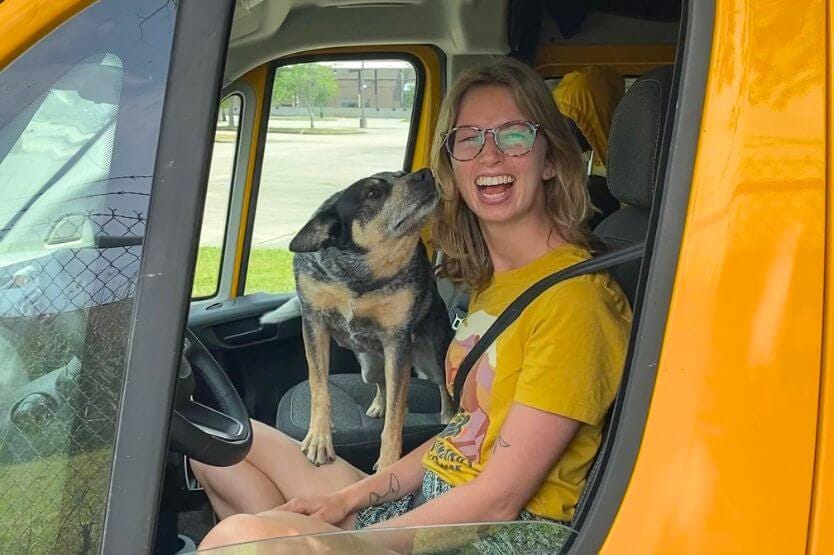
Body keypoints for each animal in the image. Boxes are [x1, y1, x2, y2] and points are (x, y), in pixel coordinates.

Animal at [276, 168, 452, 470]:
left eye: (401, 174)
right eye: (373, 193)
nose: (425, 173)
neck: (359, 275)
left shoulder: (397, 341)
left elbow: (396, 416)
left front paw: (389, 461)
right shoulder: (313, 323)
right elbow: (319, 386)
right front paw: (319, 439)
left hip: (431, 356)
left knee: (441, 385)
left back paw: (447, 415)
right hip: (368, 366)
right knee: (382, 383)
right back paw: (379, 404)